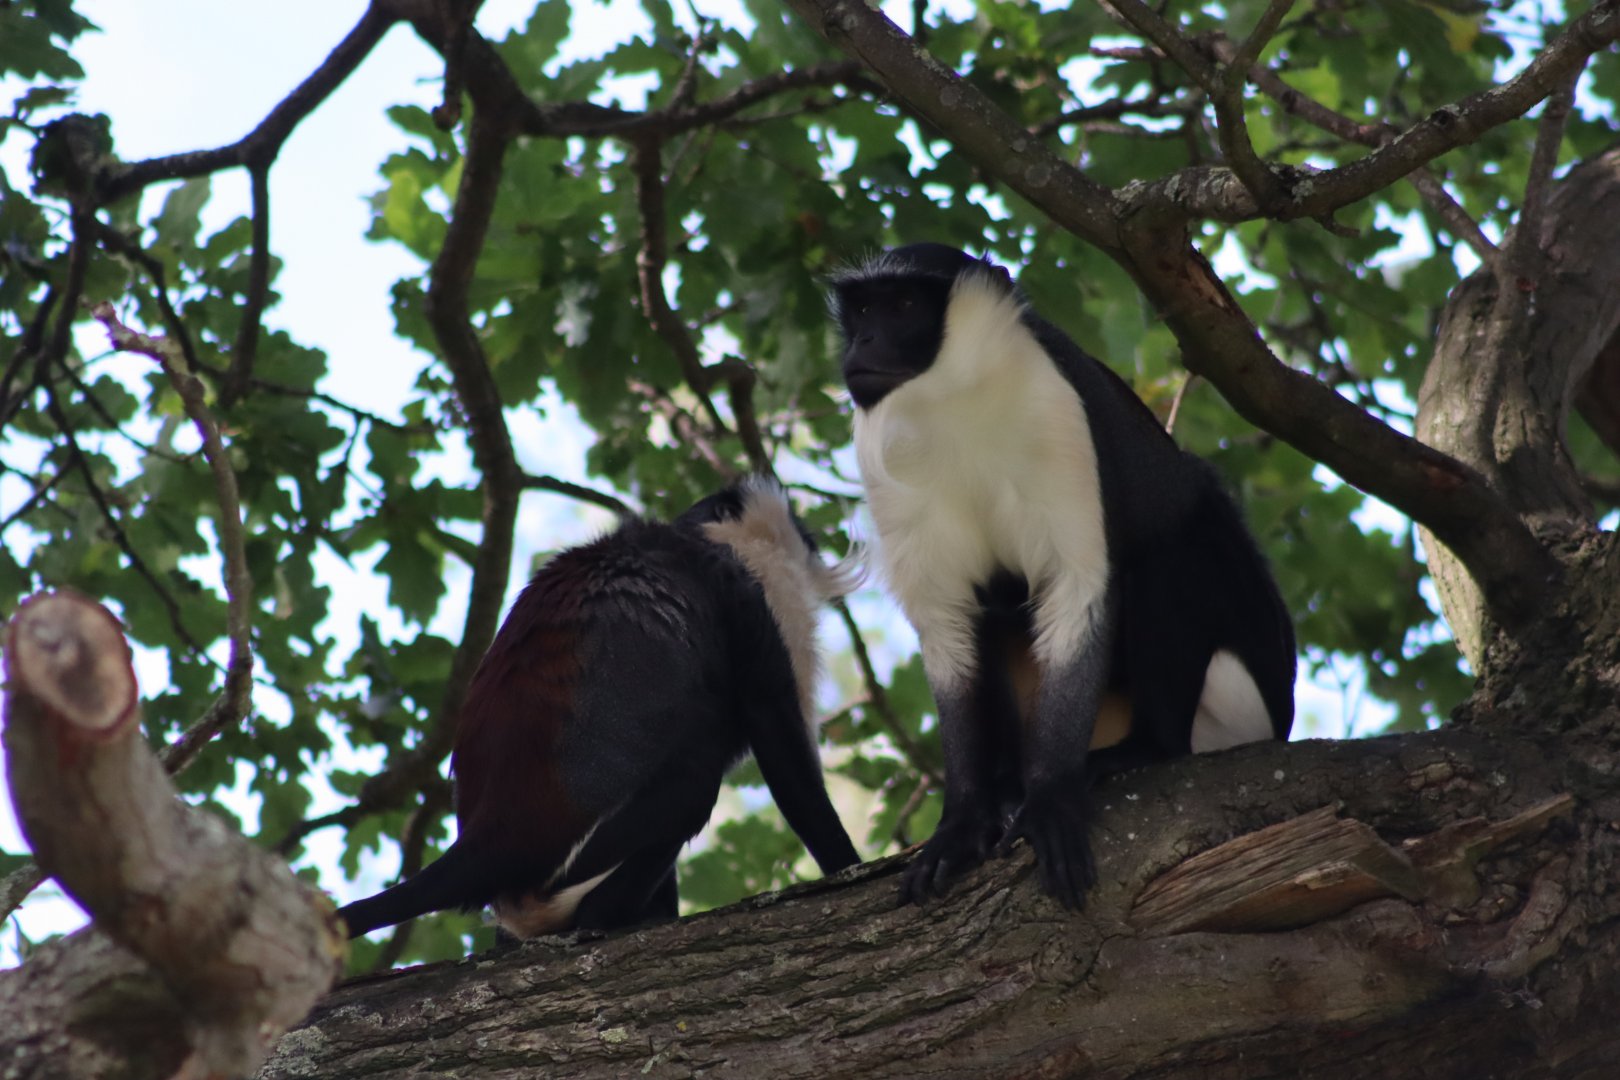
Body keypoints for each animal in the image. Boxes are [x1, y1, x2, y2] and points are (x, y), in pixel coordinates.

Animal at [338, 476, 862, 940]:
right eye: (804, 533)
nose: (816, 545)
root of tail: (489, 840)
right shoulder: (757, 589)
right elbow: (777, 736)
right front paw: (850, 868)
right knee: (694, 781)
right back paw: (606, 918)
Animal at [829, 243, 1295, 909]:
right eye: (863, 309)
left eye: (905, 304)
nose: (863, 341)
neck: (953, 404)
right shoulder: (884, 462)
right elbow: (949, 621)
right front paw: (964, 822)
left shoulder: (1056, 412)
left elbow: (1077, 590)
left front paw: (1049, 800)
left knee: (1172, 551)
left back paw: (1144, 750)